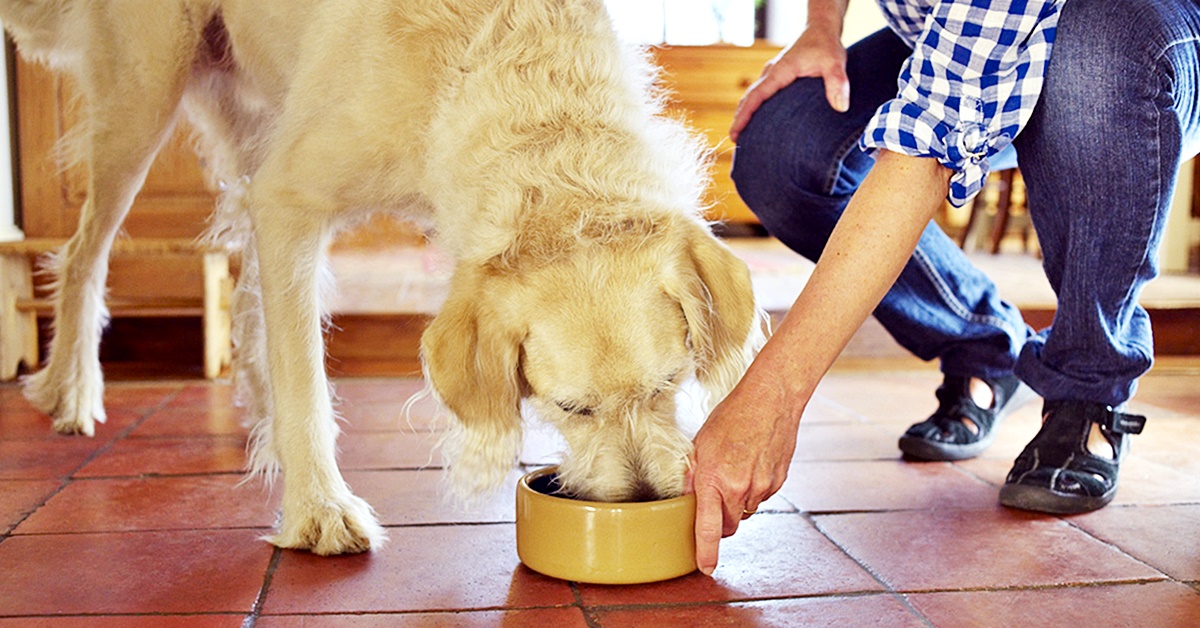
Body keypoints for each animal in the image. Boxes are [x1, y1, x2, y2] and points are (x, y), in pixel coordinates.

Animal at [0, 0, 763, 552]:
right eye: (570, 408)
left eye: (669, 386)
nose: (645, 501)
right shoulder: (290, 197)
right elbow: (306, 377)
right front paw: (318, 509)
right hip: (143, 100)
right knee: (85, 253)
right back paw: (71, 389)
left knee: (246, 298)